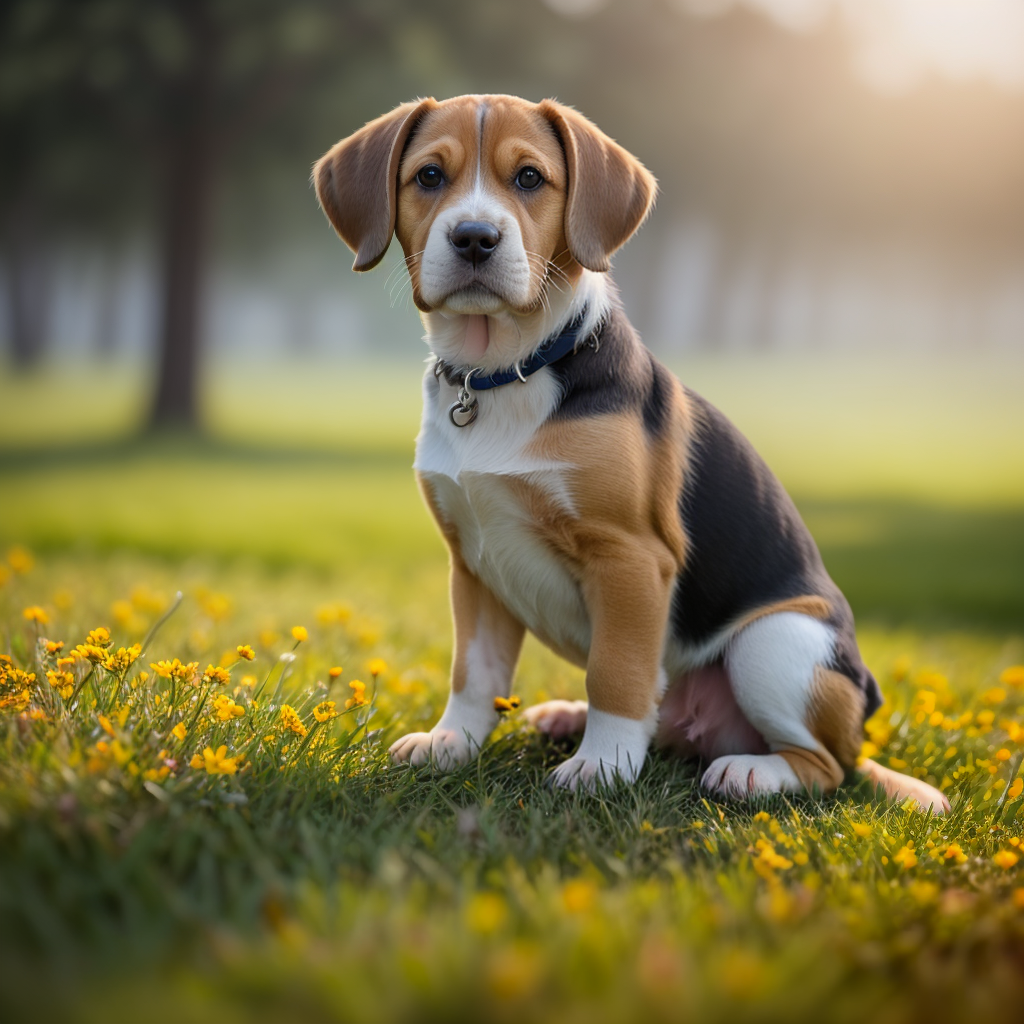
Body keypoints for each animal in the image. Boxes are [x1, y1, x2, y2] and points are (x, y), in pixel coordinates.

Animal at [315, 97, 946, 815]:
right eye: (428, 176)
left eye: (529, 178)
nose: (474, 237)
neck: (500, 372)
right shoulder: (472, 561)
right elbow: (473, 674)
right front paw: (451, 745)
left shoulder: (630, 557)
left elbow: (615, 672)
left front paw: (602, 768)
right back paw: (567, 718)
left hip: (778, 641)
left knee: (826, 767)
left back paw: (751, 773)